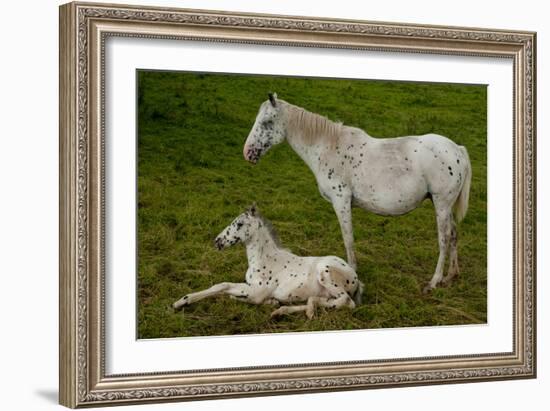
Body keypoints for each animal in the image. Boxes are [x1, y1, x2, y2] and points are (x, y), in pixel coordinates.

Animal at [172, 205, 364, 318]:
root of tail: (356, 278)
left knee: (346, 302)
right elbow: (225, 289)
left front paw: (181, 302)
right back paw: (281, 310)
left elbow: (224, 287)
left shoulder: (256, 291)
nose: (217, 241)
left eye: (239, 224)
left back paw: (307, 310)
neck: (264, 259)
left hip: (326, 272)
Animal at [246, 94, 474, 292]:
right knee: (454, 234)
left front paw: (352, 271)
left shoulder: (341, 201)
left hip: (441, 204)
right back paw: (451, 276)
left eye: (266, 122)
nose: (248, 152)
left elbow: (348, 238)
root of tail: (458, 149)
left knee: (444, 239)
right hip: (444, 206)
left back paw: (434, 281)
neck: (328, 147)